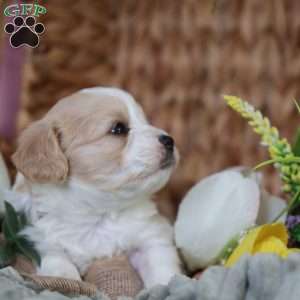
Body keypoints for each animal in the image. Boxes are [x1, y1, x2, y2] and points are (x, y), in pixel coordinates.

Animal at [11, 87, 180, 288]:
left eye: (146, 121)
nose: (170, 140)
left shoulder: (152, 234)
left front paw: (169, 284)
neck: (99, 213)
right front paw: (65, 277)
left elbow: (162, 265)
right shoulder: (39, 236)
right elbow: (55, 255)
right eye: (118, 129)